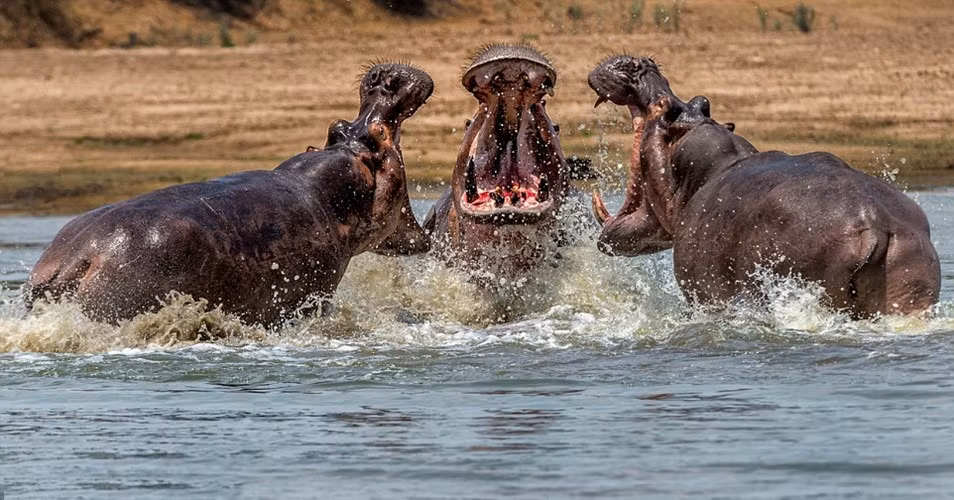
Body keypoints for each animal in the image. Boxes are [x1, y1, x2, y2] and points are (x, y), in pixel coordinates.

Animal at [588, 55, 940, 318]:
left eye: (666, 109)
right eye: (703, 101)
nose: (641, 64)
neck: (716, 163)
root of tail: (876, 224)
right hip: (910, 286)